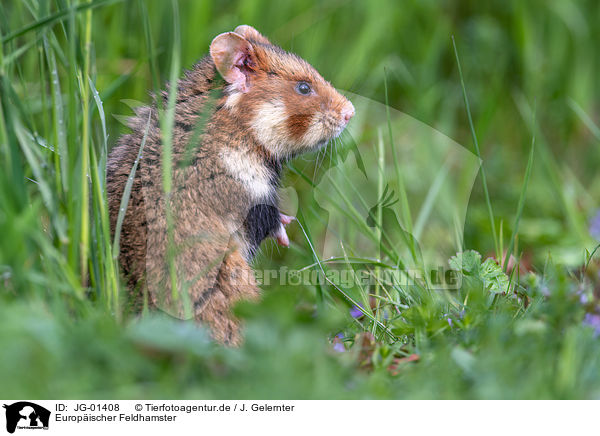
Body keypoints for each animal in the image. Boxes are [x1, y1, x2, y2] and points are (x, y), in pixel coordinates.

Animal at [106, 25, 354, 346]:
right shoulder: (252, 200)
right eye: (303, 88)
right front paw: (288, 228)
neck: (234, 123)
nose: (351, 112)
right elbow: (272, 220)